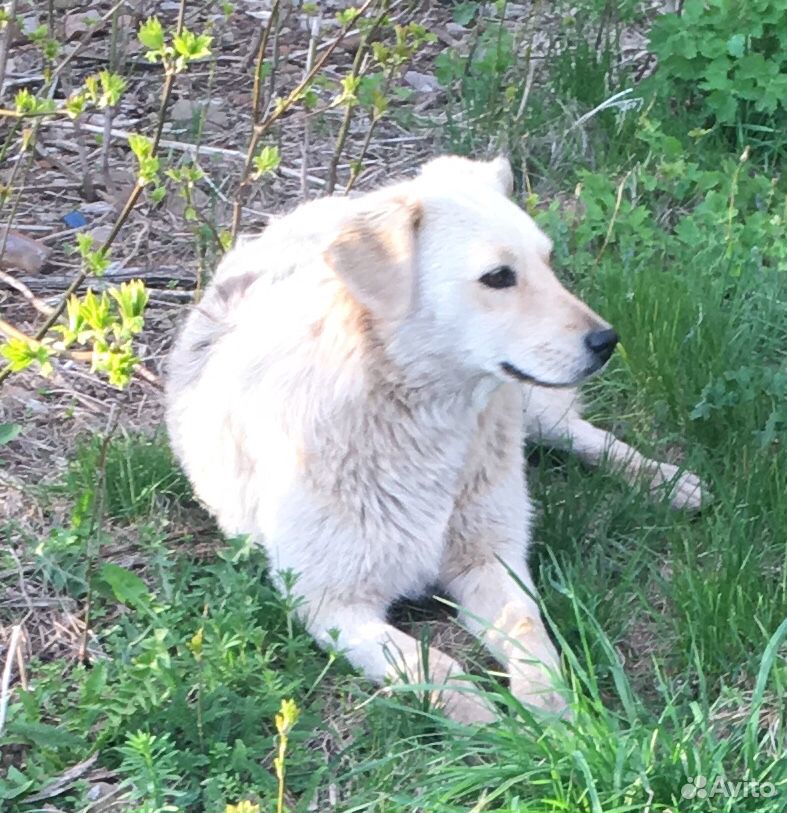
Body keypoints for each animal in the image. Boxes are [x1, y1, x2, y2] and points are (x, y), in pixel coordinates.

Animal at [165, 155, 700, 720]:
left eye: (548, 262)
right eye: (498, 277)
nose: (607, 341)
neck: (420, 421)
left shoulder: (491, 557)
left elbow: (529, 633)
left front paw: (553, 715)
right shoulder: (330, 602)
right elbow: (433, 666)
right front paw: (491, 726)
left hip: (530, 409)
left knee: (577, 433)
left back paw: (668, 482)